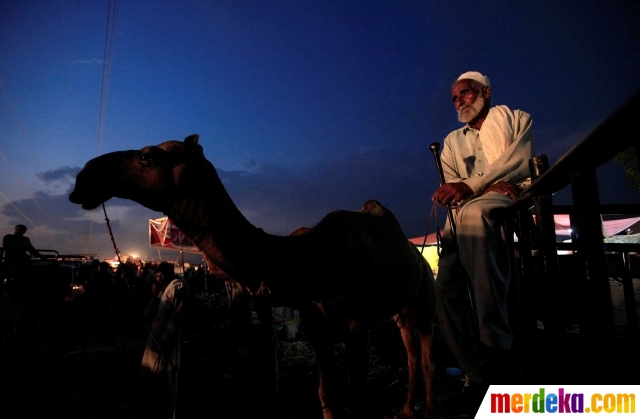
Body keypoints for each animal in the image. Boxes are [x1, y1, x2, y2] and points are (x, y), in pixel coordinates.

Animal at [71, 135, 440, 419]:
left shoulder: (355, 320)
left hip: (425, 294)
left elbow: (356, 398)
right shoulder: (314, 316)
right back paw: (404, 411)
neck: (304, 258)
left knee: (425, 357)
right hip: (399, 309)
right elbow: (326, 394)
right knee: (410, 353)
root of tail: (418, 257)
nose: (83, 178)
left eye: (147, 156)